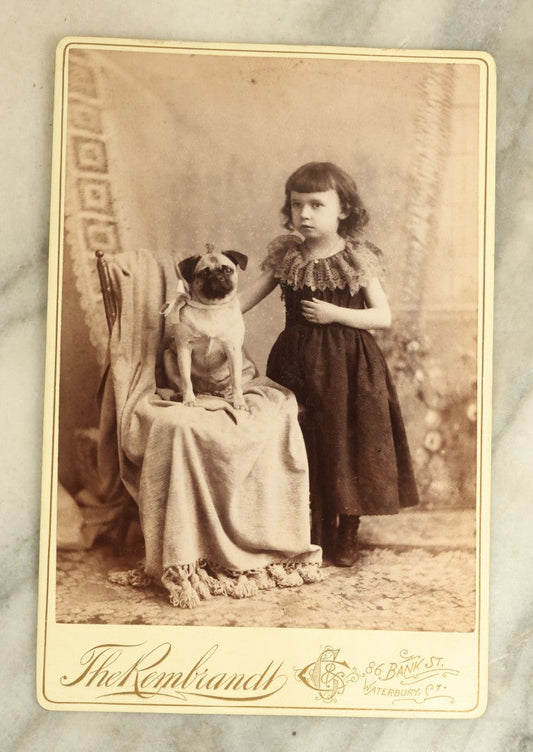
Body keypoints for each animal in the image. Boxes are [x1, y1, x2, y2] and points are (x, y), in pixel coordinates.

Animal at [166, 247, 249, 412]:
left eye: (227, 270)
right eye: (204, 273)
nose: (218, 277)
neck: (212, 307)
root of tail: (207, 390)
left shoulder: (233, 350)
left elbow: (236, 381)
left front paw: (239, 401)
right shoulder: (184, 349)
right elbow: (185, 380)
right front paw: (189, 400)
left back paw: (222, 393)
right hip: (168, 357)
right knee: (182, 383)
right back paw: (181, 395)